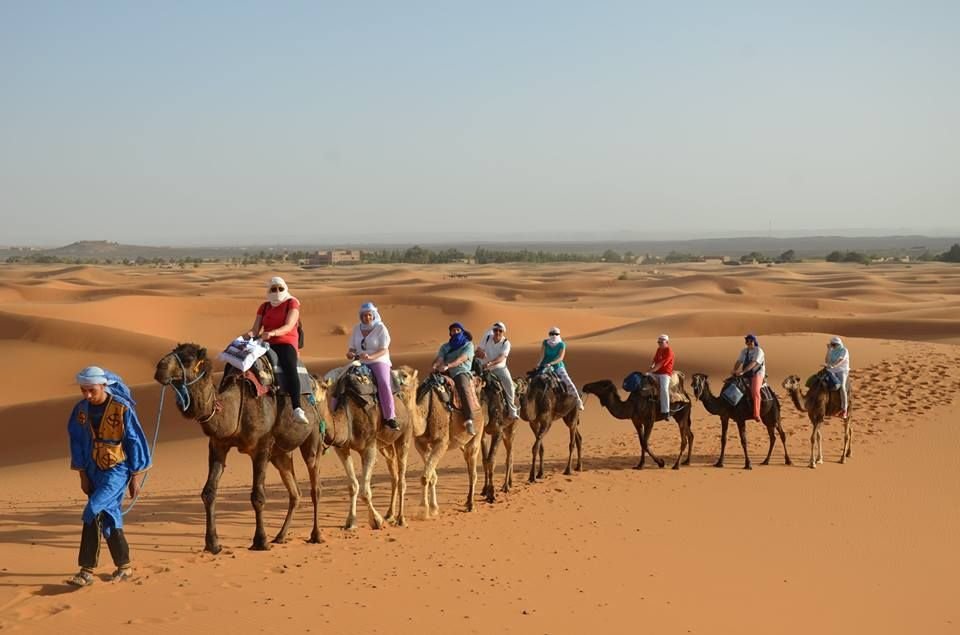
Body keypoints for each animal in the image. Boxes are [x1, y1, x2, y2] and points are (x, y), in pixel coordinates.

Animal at [154, 340, 324, 556]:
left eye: (188, 359)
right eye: (174, 352)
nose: (159, 369)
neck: (234, 410)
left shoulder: (261, 446)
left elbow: (258, 496)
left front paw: (260, 541)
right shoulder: (218, 445)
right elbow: (208, 492)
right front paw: (213, 544)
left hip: (312, 437)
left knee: (315, 487)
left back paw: (316, 535)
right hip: (280, 454)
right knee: (295, 493)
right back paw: (281, 536)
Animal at [318, 366, 420, 528]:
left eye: (322, 387)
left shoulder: (369, 447)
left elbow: (365, 492)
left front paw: (376, 521)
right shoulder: (342, 449)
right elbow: (353, 486)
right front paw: (350, 522)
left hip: (404, 435)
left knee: (402, 479)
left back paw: (401, 519)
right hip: (385, 446)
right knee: (394, 476)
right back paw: (390, 514)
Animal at [412, 372, 488, 516]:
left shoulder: (442, 443)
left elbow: (426, 476)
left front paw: (424, 511)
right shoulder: (421, 444)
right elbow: (430, 476)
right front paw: (432, 507)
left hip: (477, 434)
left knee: (473, 472)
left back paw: (471, 505)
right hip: (463, 444)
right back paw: (467, 501)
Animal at [478, 370, 520, 504]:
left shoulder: (498, 431)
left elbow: (491, 460)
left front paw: (491, 494)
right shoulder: (482, 434)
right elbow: (485, 460)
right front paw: (484, 489)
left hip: (511, 427)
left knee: (509, 456)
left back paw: (506, 486)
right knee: (511, 452)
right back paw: (510, 483)